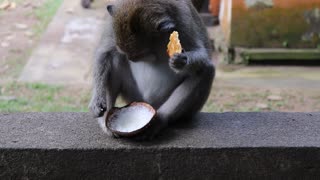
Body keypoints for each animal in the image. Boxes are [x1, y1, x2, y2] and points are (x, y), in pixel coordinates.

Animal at [89, 0, 216, 139]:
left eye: (140, 55)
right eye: (130, 55)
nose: (131, 59)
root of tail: (150, 104)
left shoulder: (184, 22)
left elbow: (203, 54)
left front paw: (181, 61)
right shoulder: (112, 24)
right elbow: (104, 53)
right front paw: (97, 100)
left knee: (204, 71)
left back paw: (159, 121)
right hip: (134, 96)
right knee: (115, 58)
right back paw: (106, 118)